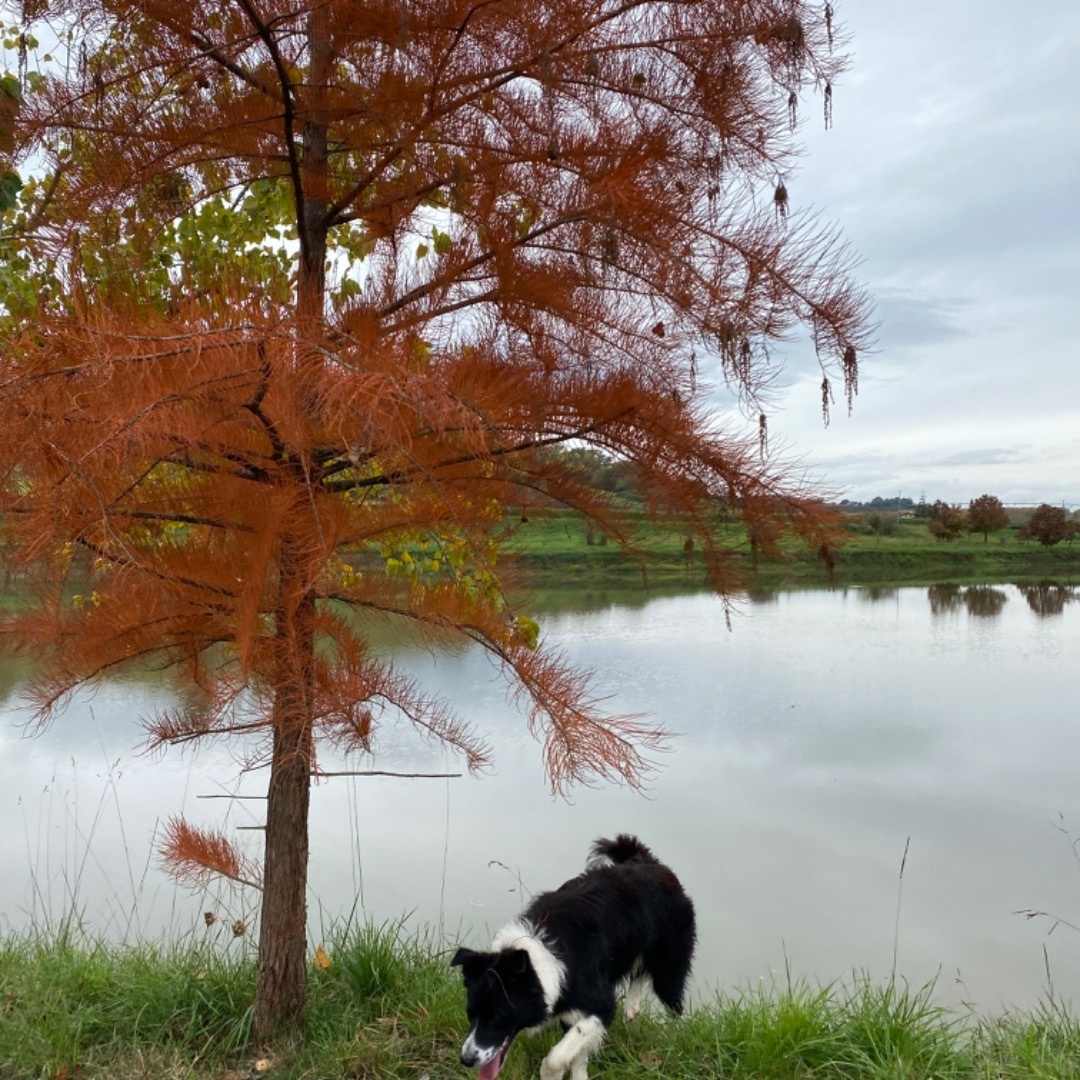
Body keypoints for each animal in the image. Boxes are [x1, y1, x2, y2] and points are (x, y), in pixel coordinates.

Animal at [451, 834, 696, 1080]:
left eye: (498, 1017)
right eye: (470, 1013)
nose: (466, 1060)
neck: (543, 954)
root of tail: (651, 863)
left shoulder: (601, 1005)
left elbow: (557, 1056)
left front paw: (552, 1073)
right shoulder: (572, 1007)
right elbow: (578, 1051)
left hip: (669, 963)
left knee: (674, 1004)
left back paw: (670, 1043)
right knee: (639, 970)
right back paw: (633, 1007)